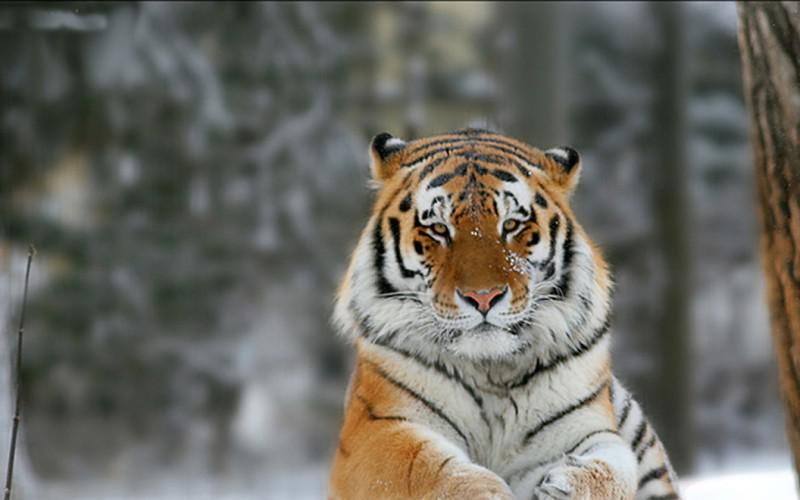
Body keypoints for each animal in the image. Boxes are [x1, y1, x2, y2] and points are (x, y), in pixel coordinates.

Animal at [328, 130, 680, 500]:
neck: (490, 370)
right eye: (438, 229)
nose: (483, 297)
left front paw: (566, 485)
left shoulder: (586, 427)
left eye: (511, 225)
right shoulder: (377, 427)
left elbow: (613, 465)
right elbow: (427, 469)